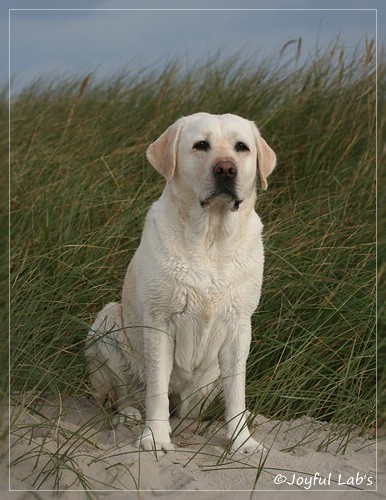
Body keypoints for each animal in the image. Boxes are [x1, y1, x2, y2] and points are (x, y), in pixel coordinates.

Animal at [86, 112, 276, 454]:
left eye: (241, 147)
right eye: (201, 145)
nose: (226, 168)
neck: (211, 237)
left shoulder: (240, 326)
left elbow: (236, 394)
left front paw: (242, 442)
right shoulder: (160, 322)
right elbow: (157, 391)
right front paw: (155, 438)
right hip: (106, 322)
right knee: (123, 394)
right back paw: (130, 414)